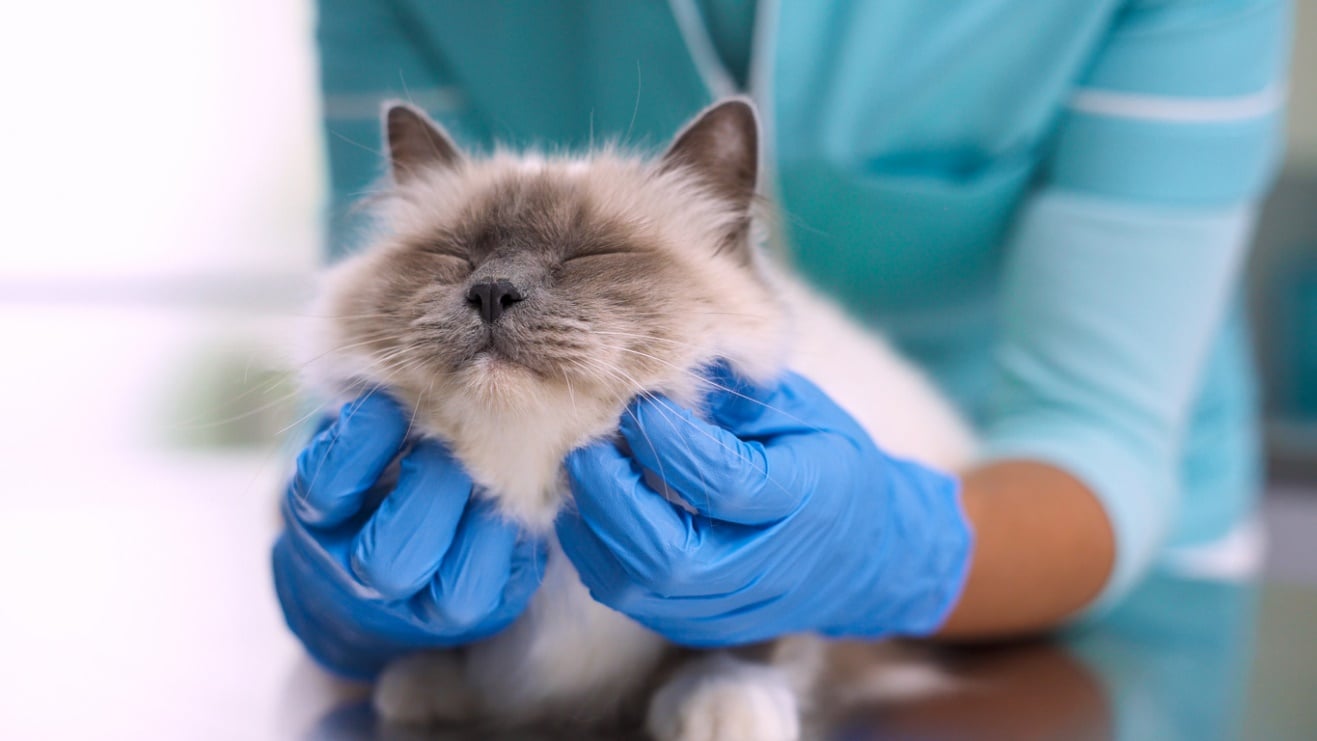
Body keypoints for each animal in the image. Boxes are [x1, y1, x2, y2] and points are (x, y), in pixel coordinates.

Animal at [301, 98, 979, 741]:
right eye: (453, 254)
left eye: (592, 255)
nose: (492, 290)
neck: (545, 501)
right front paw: (427, 684)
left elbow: (749, 630)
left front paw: (722, 703)